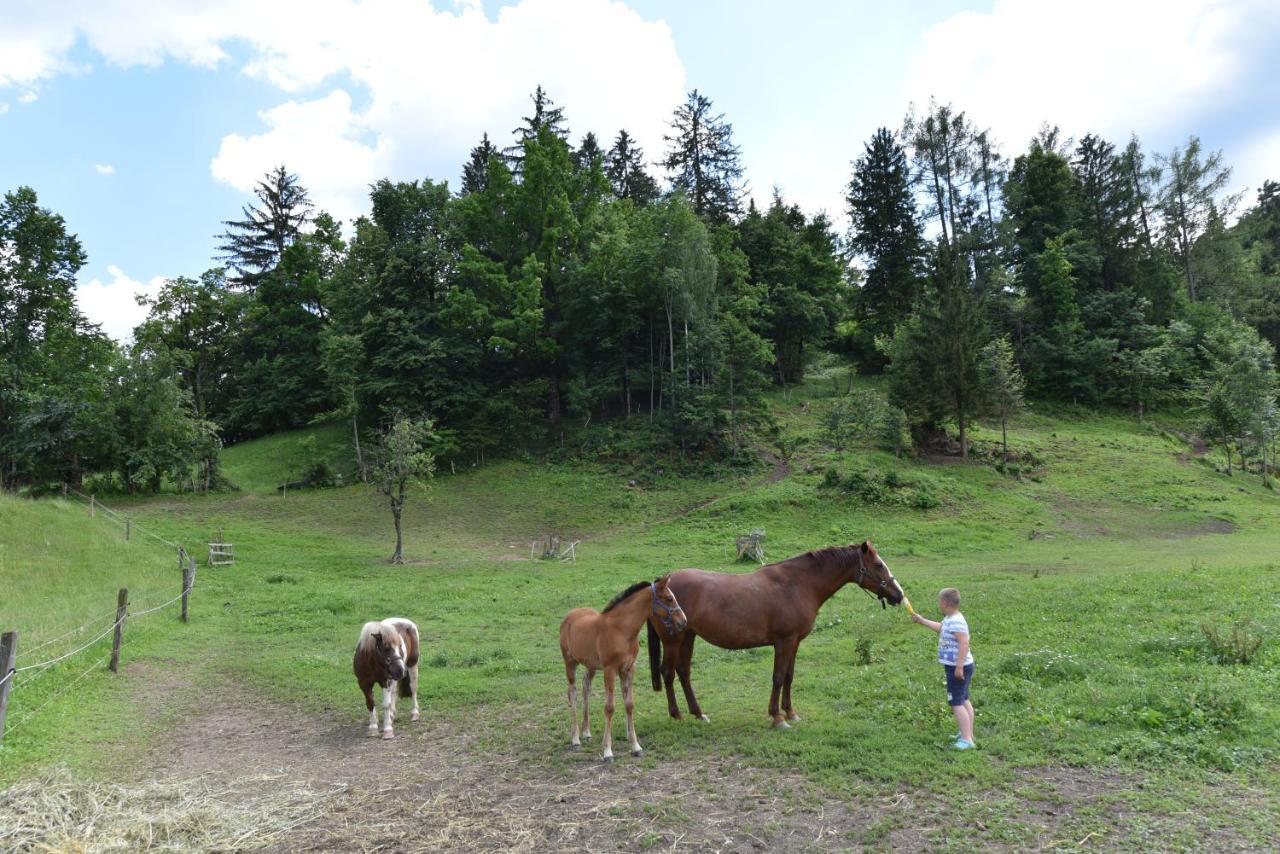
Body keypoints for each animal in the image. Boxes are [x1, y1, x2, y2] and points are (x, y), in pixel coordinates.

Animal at [558, 578, 686, 763]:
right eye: (669, 598)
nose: (683, 621)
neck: (621, 630)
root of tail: (570, 615)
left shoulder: (628, 669)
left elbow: (629, 705)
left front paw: (636, 747)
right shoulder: (610, 670)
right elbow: (609, 707)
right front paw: (607, 751)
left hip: (591, 665)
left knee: (585, 687)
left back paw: (586, 732)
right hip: (570, 662)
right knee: (572, 693)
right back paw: (575, 739)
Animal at [645, 540, 906, 727]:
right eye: (878, 565)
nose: (899, 595)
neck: (798, 584)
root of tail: (659, 586)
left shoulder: (795, 642)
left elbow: (789, 676)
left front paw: (790, 712)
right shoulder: (784, 641)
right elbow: (778, 677)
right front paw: (777, 717)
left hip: (688, 636)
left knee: (684, 673)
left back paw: (699, 714)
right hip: (673, 640)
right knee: (668, 673)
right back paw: (677, 714)